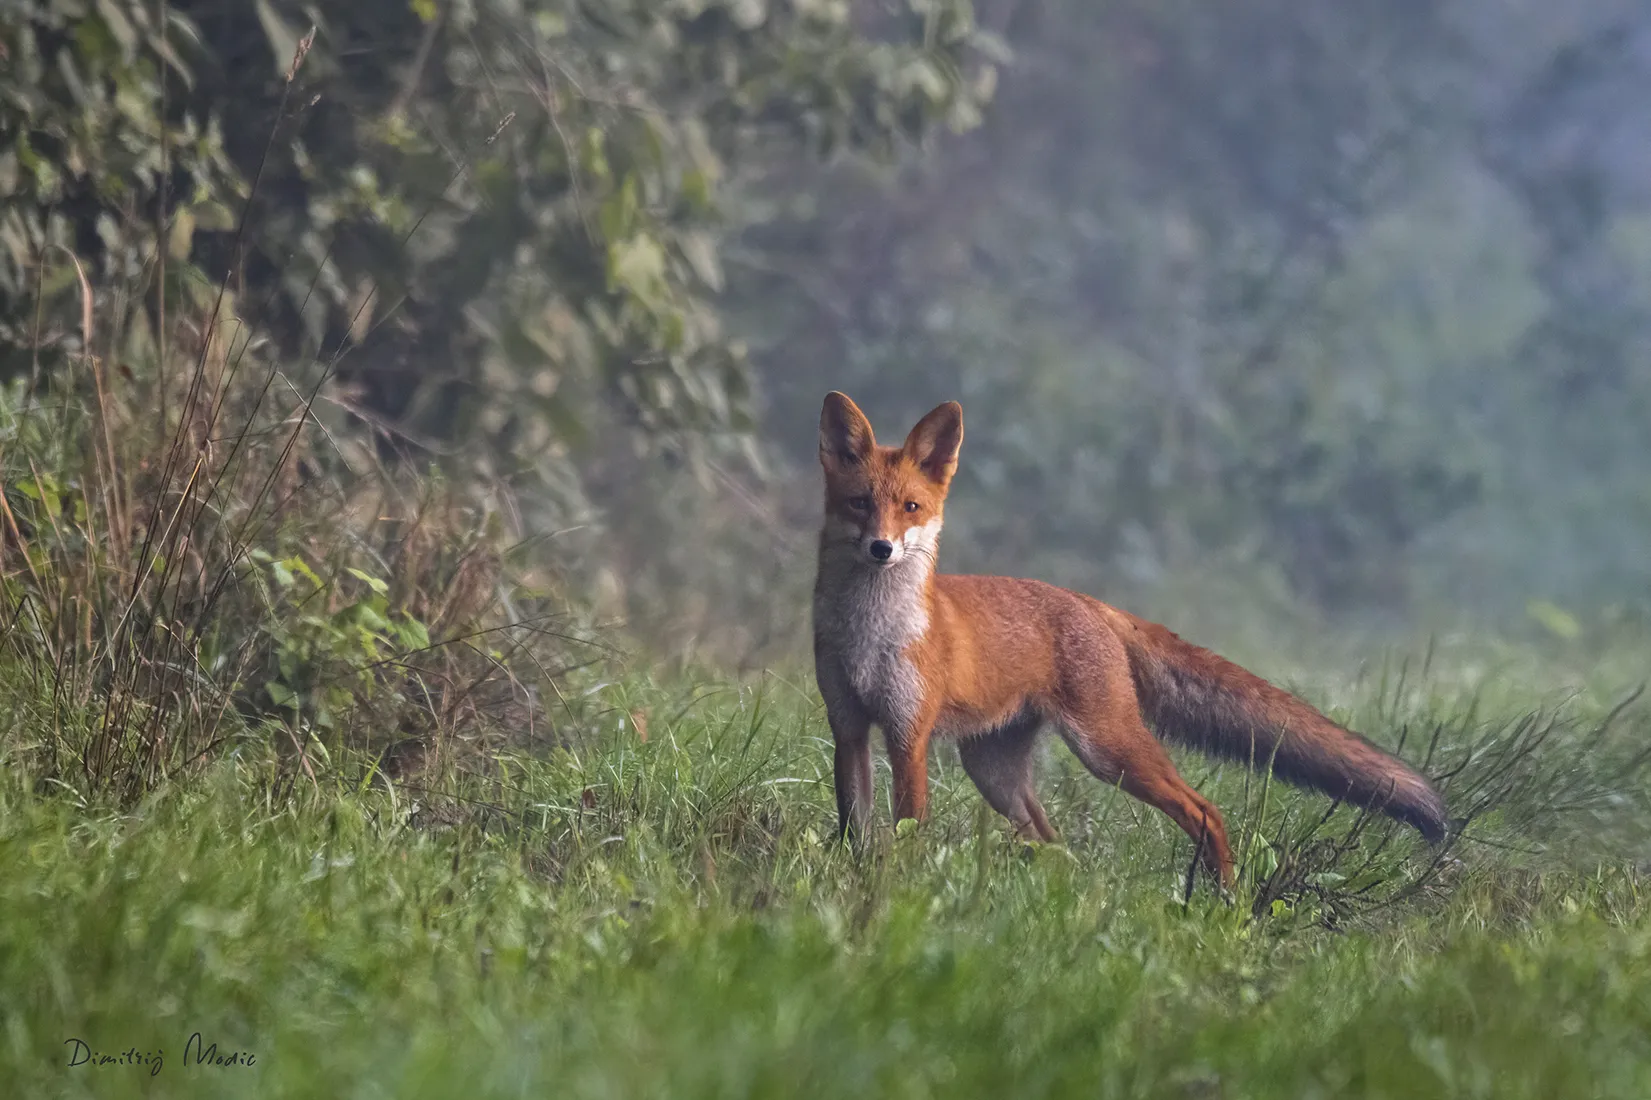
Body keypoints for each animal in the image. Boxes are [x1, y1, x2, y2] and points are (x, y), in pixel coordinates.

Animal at [811, 391, 1447, 887]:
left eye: (911, 507)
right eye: (860, 504)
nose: (882, 549)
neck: (869, 637)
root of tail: (1090, 602)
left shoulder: (908, 733)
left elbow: (907, 830)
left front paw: (900, 888)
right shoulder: (849, 727)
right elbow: (854, 829)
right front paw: (855, 883)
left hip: (1108, 749)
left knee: (1206, 811)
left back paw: (1221, 902)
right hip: (995, 772)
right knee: (1056, 843)